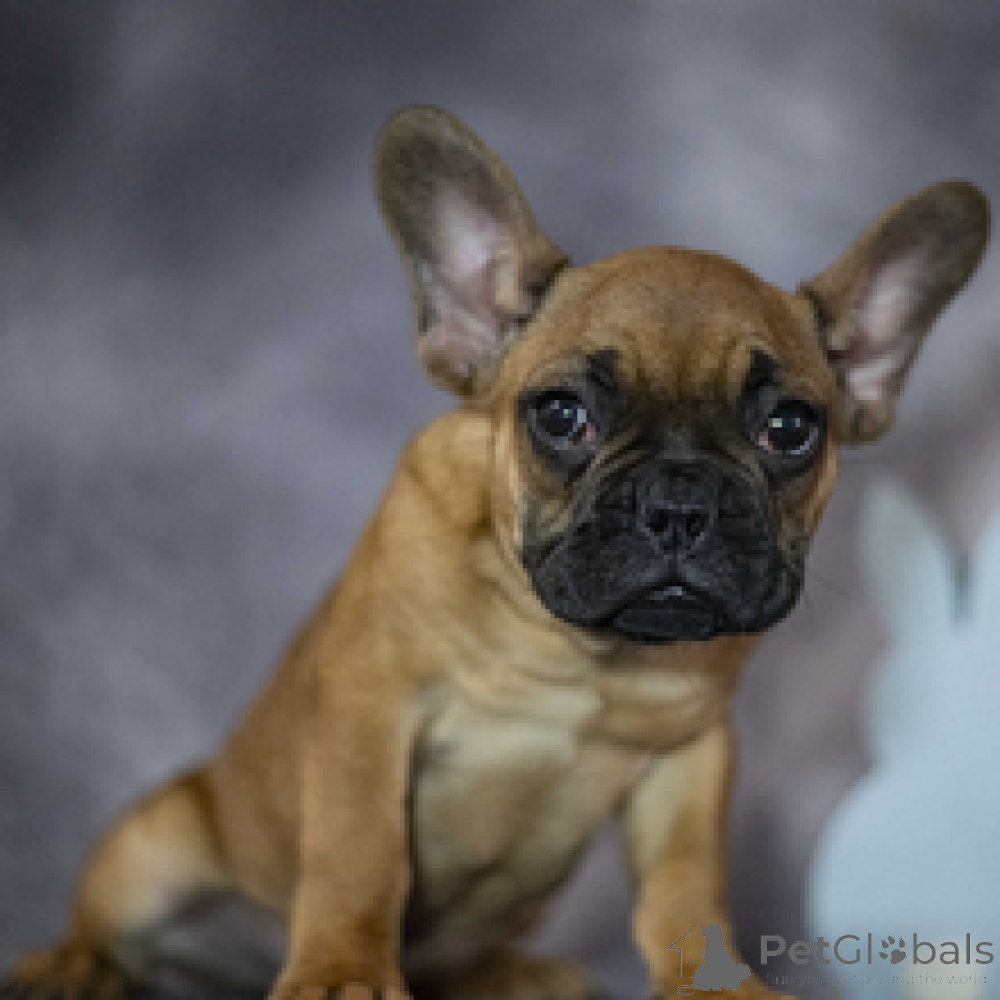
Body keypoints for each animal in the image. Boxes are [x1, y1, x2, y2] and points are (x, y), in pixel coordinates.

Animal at [3, 106, 989, 1000]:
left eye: (789, 428)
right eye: (561, 414)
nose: (679, 502)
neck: (573, 645)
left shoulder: (691, 757)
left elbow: (685, 888)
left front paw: (715, 985)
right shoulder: (370, 706)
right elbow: (360, 857)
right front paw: (341, 976)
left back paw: (519, 977)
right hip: (155, 847)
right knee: (109, 925)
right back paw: (71, 966)